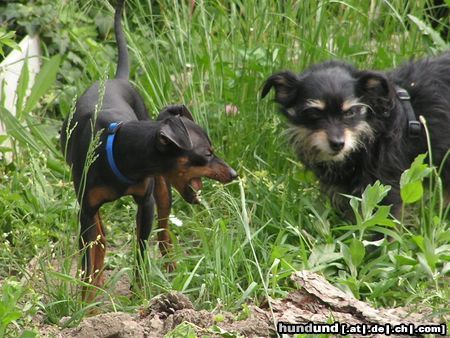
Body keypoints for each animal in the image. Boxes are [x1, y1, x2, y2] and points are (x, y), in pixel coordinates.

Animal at [61, 0, 237, 302]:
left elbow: (141, 252)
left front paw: (139, 294)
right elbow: (87, 260)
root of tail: (118, 79)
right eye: (208, 153)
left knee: (164, 232)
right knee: (101, 238)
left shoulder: (147, 204)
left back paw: (170, 266)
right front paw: (87, 303)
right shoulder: (86, 210)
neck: (119, 149)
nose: (234, 173)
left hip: (163, 193)